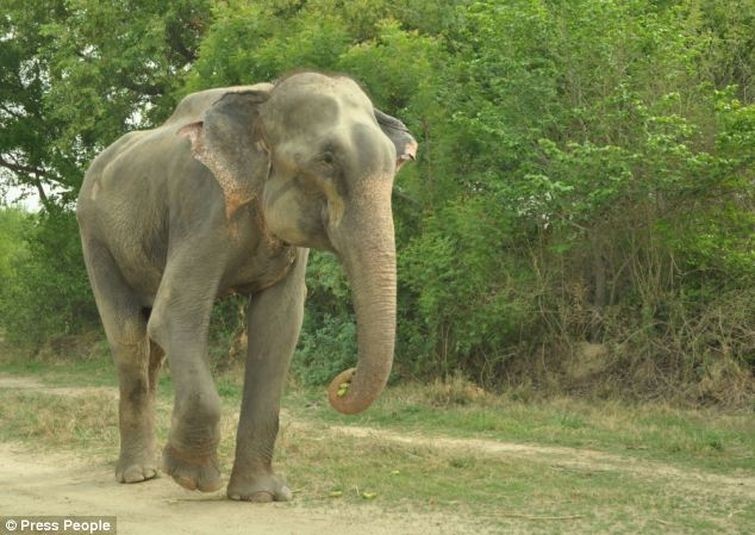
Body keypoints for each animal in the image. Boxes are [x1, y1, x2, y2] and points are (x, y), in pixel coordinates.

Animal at [75, 71, 420, 502]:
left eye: (394, 165)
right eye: (326, 160)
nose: (343, 380)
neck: (264, 97)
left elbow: (278, 327)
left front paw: (261, 495)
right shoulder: (203, 203)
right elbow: (174, 317)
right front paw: (192, 478)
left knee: (149, 347)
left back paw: (148, 470)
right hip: (95, 236)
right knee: (128, 336)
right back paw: (138, 474)